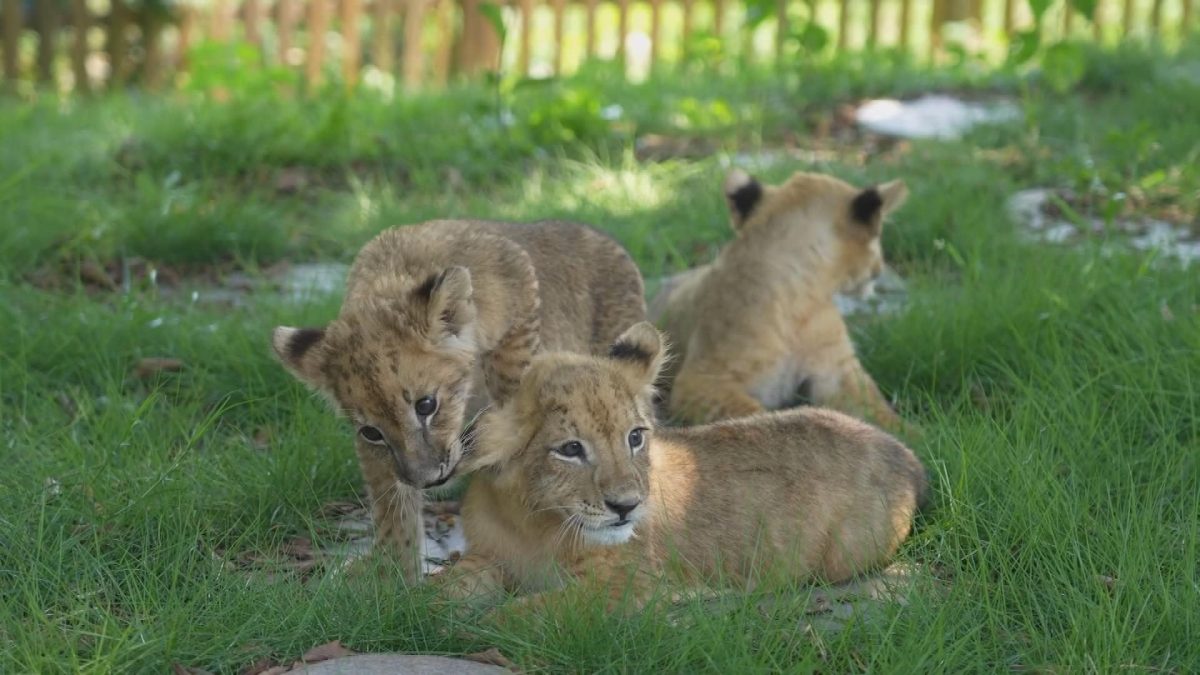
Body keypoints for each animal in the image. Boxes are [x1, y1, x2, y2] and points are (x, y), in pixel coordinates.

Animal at [271, 219, 646, 579]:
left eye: (426, 405)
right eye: (372, 432)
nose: (427, 480)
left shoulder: (517, 278)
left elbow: (514, 377)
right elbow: (391, 503)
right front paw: (392, 578)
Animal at [438, 322, 928, 610]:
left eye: (635, 437)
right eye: (571, 449)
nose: (626, 507)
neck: (534, 523)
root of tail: (905, 453)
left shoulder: (626, 584)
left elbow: (526, 612)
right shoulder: (487, 556)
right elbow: (448, 585)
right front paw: (428, 609)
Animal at [650, 169, 910, 431]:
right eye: (877, 236)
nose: (879, 267)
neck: (799, 299)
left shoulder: (838, 372)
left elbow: (879, 410)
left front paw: (911, 433)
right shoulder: (700, 379)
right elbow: (751, 413)